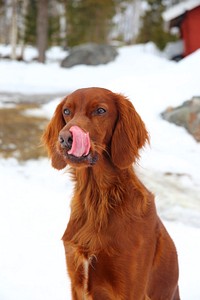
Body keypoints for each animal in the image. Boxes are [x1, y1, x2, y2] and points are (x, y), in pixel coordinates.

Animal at [42, 87, 180, 300]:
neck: (98, 198)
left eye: (100, 110)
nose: (65, 138)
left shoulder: (131, 288)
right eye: (66, 111)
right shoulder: (76, 283)